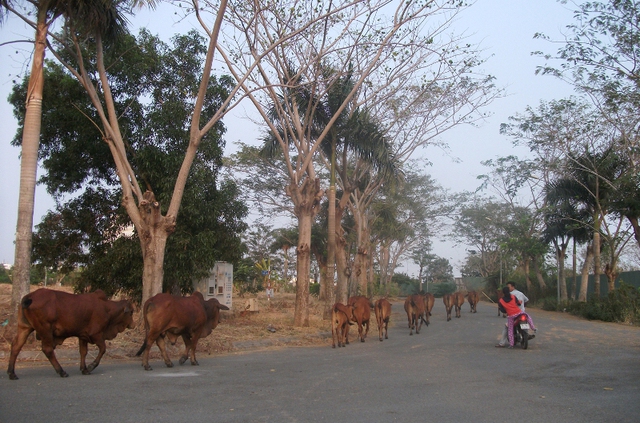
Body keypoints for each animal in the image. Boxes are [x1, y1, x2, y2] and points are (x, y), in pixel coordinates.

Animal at [6, 288, 134, 380]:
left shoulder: (83, 335)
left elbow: (83, 352)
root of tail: (29, 296)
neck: (107, 309)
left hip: (25, 327)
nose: (133, 325)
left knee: (16, 346)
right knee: (47, 349)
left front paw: (84, 369)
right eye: (131, 312)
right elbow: (103, 349)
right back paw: (62, 371)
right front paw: (91, 366)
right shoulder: (96, 335)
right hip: (45, 330)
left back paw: (12, 373)